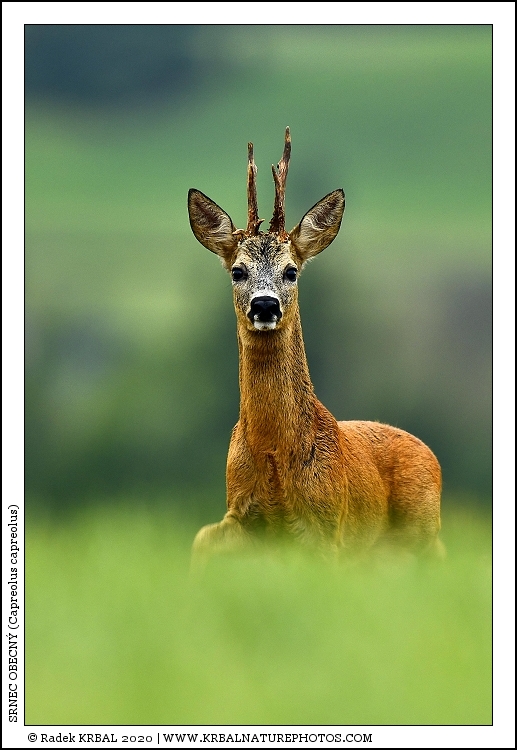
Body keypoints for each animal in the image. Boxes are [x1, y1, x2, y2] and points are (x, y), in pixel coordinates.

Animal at [187, 127, 444, 567]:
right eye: (238, 270)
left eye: (291, 270)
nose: (265, 304)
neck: (274, 457)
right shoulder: (237, 510)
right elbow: (202, 542)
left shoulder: (328, 523)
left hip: (425, 529)